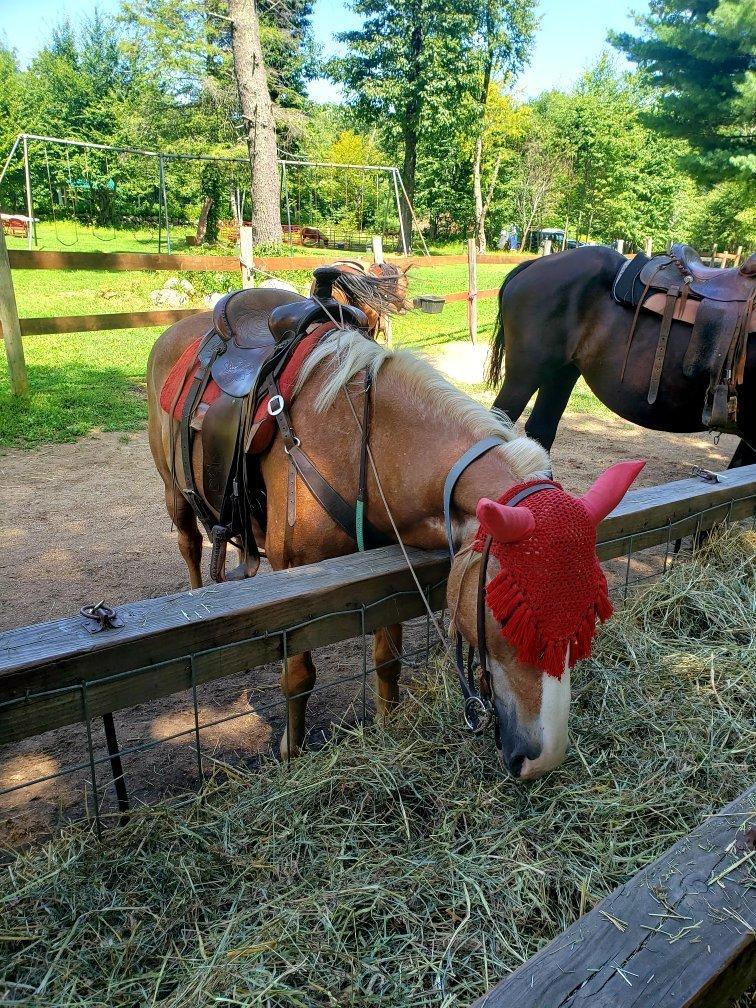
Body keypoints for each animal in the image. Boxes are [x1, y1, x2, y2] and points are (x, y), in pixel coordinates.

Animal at [146, 318, 641, 774]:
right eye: (507, 613)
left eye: (591, 612)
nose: (542, 759)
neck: (356, 443)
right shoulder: (294, 585)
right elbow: (298, 677)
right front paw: (292, 751)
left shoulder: (384, 573)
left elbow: (388, 660)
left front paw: (387, 725)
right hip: (174, 491)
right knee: (189, 544)